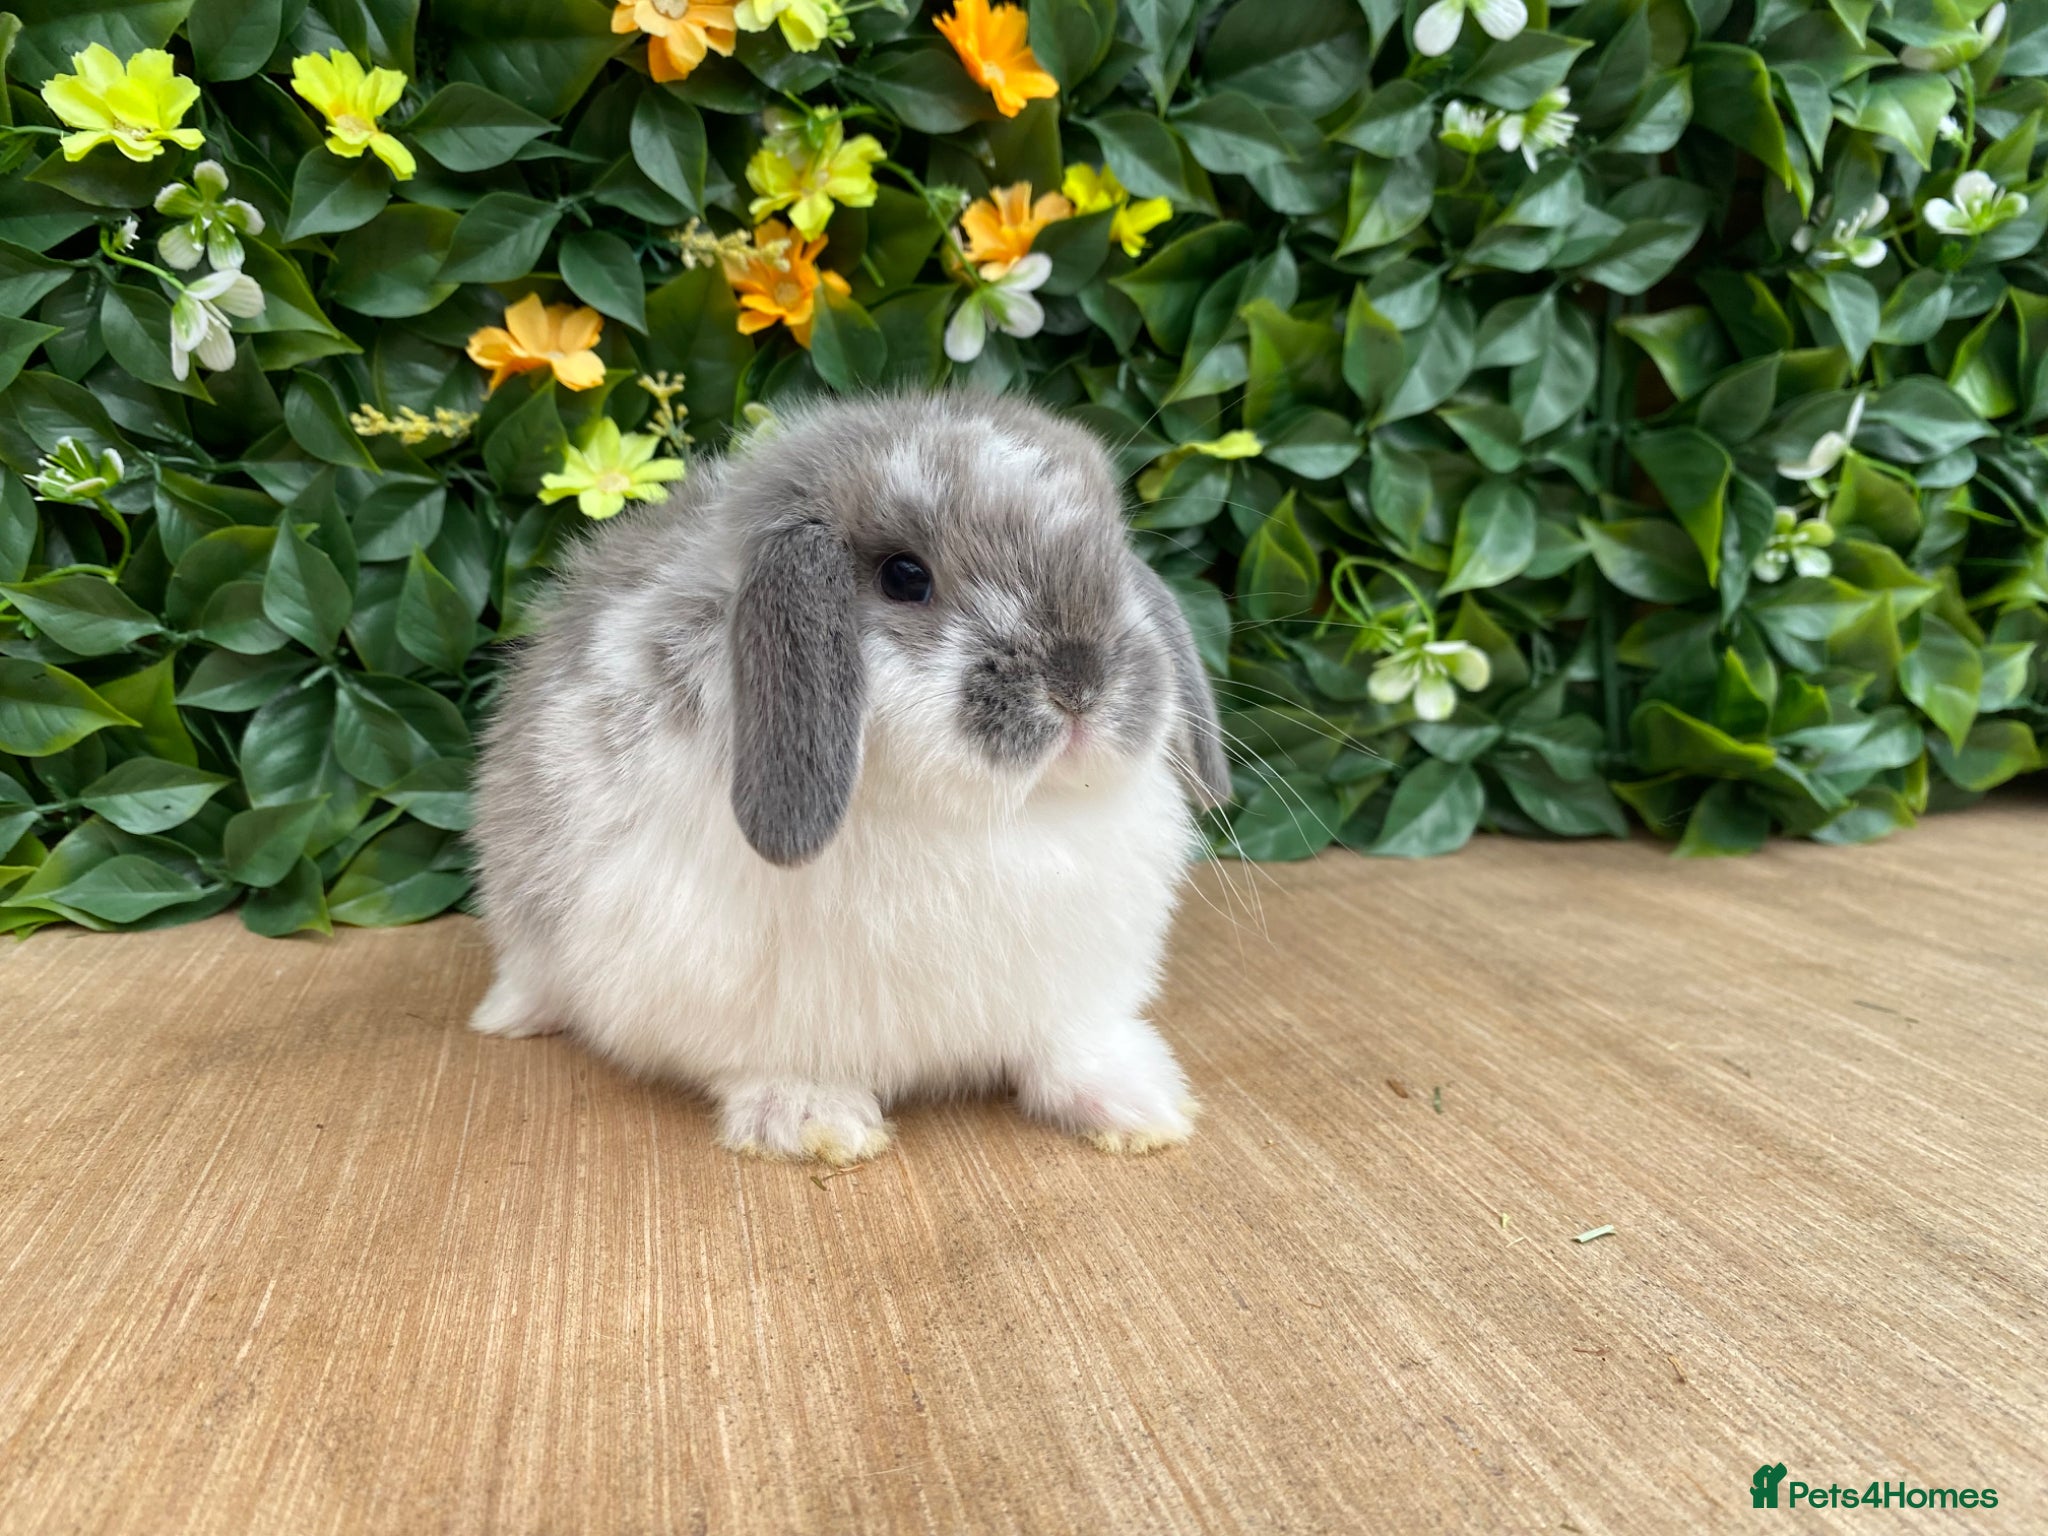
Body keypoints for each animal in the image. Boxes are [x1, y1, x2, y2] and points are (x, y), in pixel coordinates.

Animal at [466, 391, 1231, 1166]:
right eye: (905, 576)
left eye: (1111, 557)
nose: (1081, 684)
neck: (989, 816)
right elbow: (780, 1061)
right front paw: (811, 1119)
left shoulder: (1070, 984)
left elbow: (1066, 1046)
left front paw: (1139, 1105)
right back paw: (513, 1016)